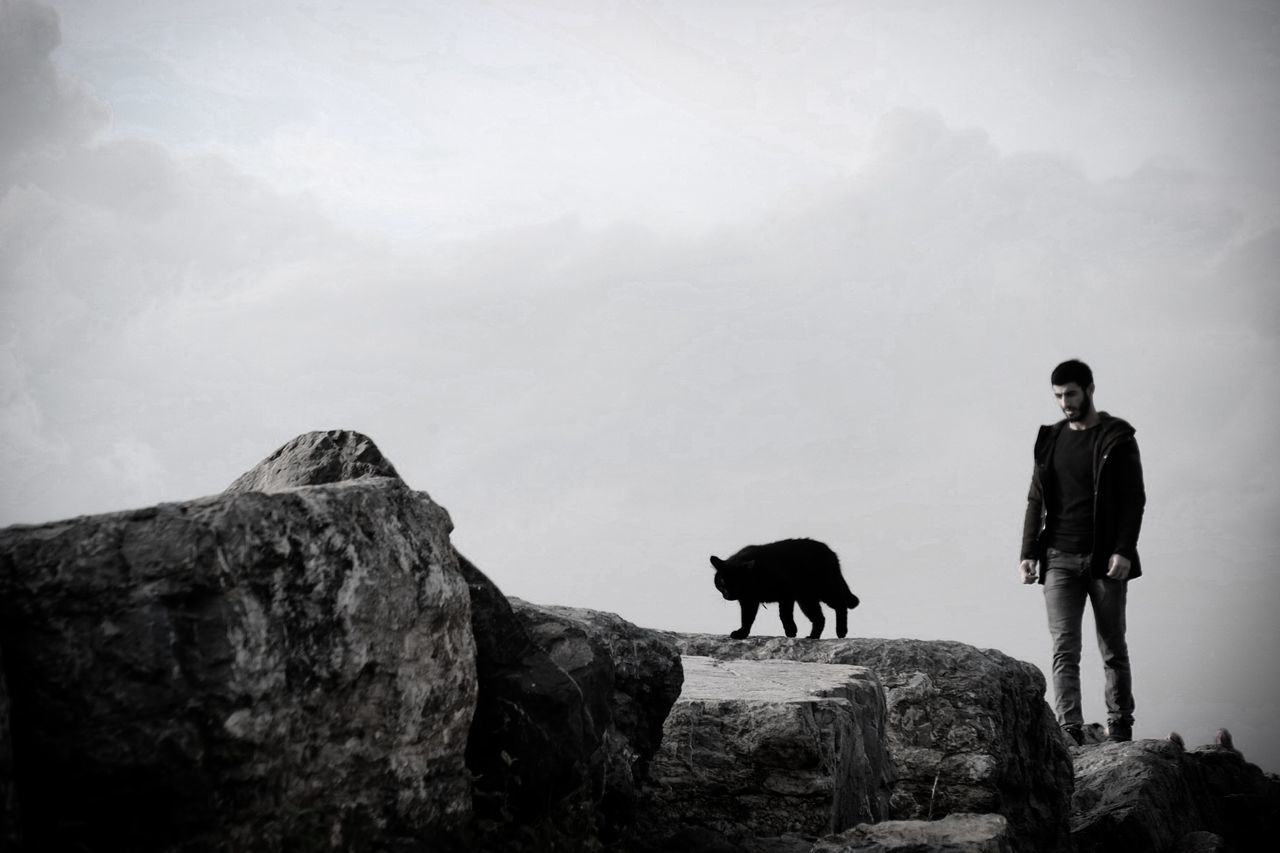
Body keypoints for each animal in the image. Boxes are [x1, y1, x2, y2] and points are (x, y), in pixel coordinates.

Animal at [711, 535, 860, 635]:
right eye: (722, 581)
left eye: (738, 582)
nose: (728, 595)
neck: (756, 575)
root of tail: (831, 554)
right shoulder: (748, 601)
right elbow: (747, 618)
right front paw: (742, 633)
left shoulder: (786, 594)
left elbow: (784, 614)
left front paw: (791, 631)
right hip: (807, 599)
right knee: (820, 618)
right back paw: (813, 637)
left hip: (822, 590)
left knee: (840, 605)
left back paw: (841, 631)